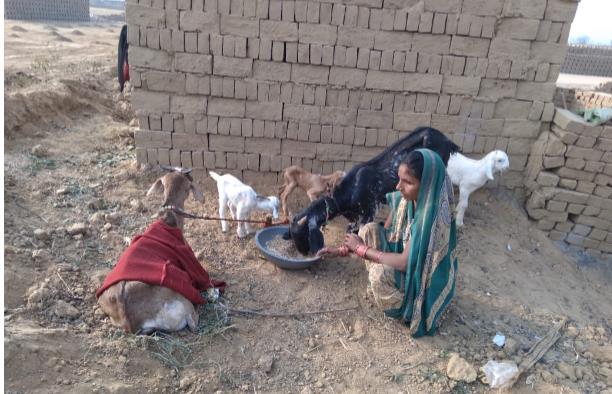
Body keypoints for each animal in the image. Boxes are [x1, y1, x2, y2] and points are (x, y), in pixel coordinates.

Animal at [286, 127, 460, 255]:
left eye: (304, 235)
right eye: (294, 235)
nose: (304, 254)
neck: (346, 193)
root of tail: (448, 141)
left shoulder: (369, 210)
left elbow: (362, 232)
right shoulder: (353, 216)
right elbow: (350, 231)